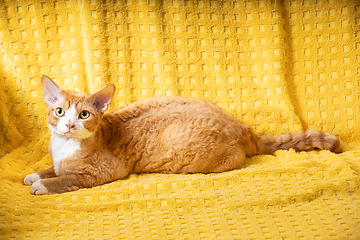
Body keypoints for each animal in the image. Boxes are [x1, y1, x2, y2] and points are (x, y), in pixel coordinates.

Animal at [23, 75, 344, 195]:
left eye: (85, 115)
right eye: (60, 112)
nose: (69, 125)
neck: (64, 146)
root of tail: (243, 127)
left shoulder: (102, 172)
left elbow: (67, 178)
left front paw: (43, 185)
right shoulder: (58, 159)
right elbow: (51, 168)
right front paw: (35, 175)